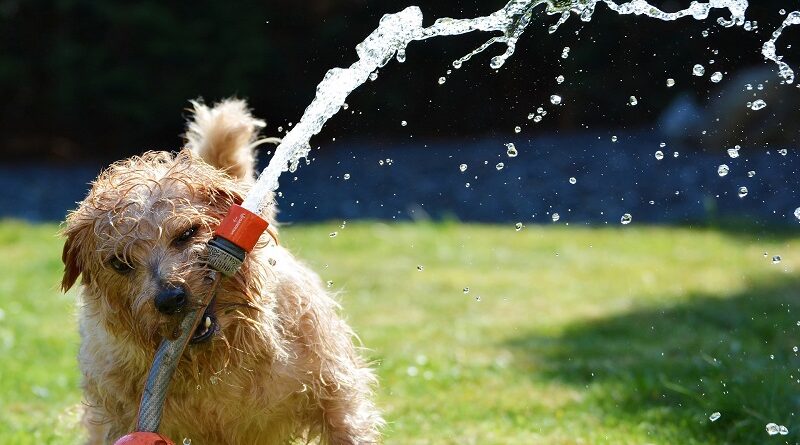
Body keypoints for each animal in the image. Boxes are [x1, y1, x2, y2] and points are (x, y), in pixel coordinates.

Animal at [61, 99, 382, 442]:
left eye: (187, 233)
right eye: (120, 263)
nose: (170, 298)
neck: (217, 361)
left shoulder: (335, 394)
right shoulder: (116, 417)